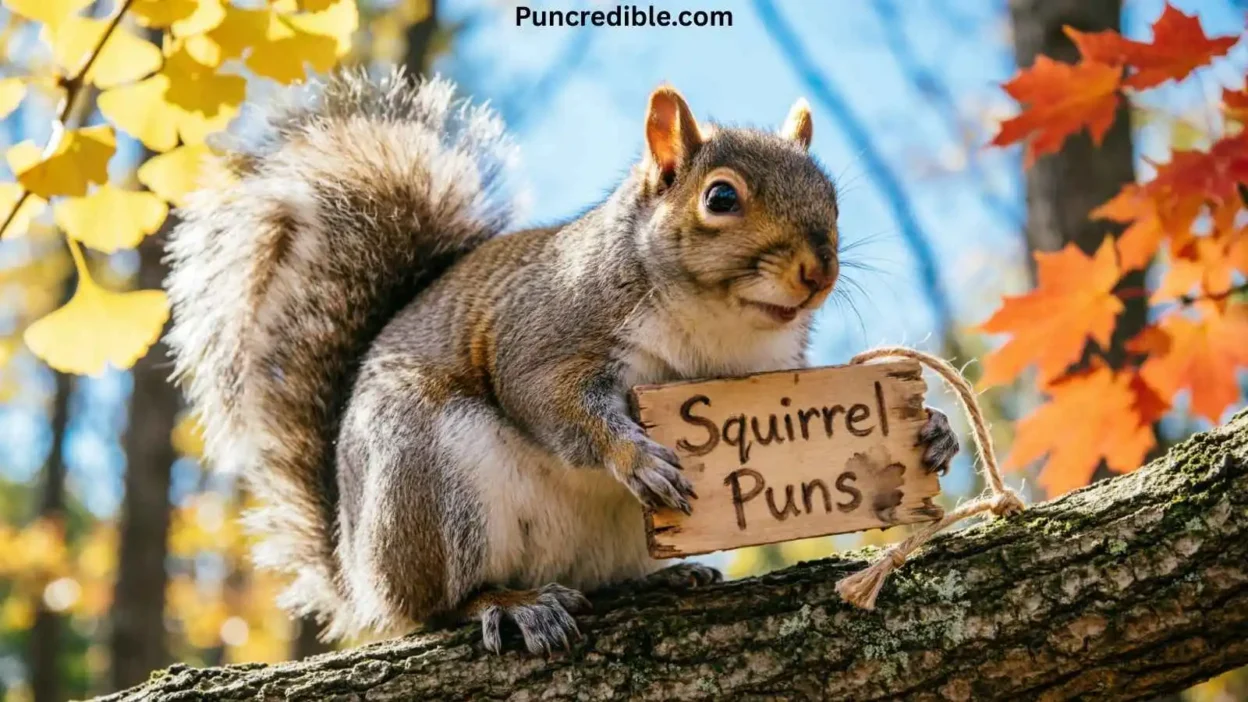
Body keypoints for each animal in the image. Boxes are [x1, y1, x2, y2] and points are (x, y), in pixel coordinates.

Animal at [165, 68, 960, 654]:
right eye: (721, 197)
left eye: (831, 196)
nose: (818, 271)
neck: (716, 325)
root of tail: (358, 571)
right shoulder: (546, 334)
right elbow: (546, 396)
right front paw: (637, 458)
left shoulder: (761, 379)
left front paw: (932, 434)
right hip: (432, 478)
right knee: (436, 607)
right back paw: (510, 604)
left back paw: (656, 583)